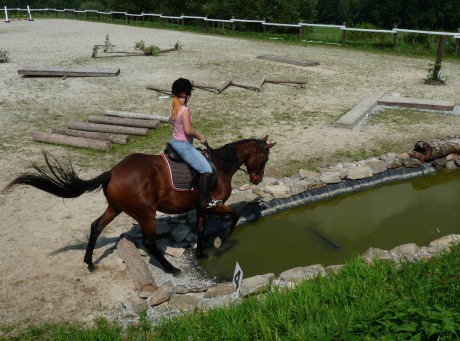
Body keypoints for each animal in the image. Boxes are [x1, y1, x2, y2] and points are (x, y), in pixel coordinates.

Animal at [2, 135, 276, 274]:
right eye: (265, 156)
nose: (257, 179)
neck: (220, 165)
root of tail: (112, 171)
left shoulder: (202, 208)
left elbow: (200, 230)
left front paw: (201, 253)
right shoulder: (213, 205)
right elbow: (234, 216)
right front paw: (221, 239)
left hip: (115, 208)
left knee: (95, 227)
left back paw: (89, 262)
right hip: (146, 213)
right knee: (149, 242)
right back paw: (171, 269)